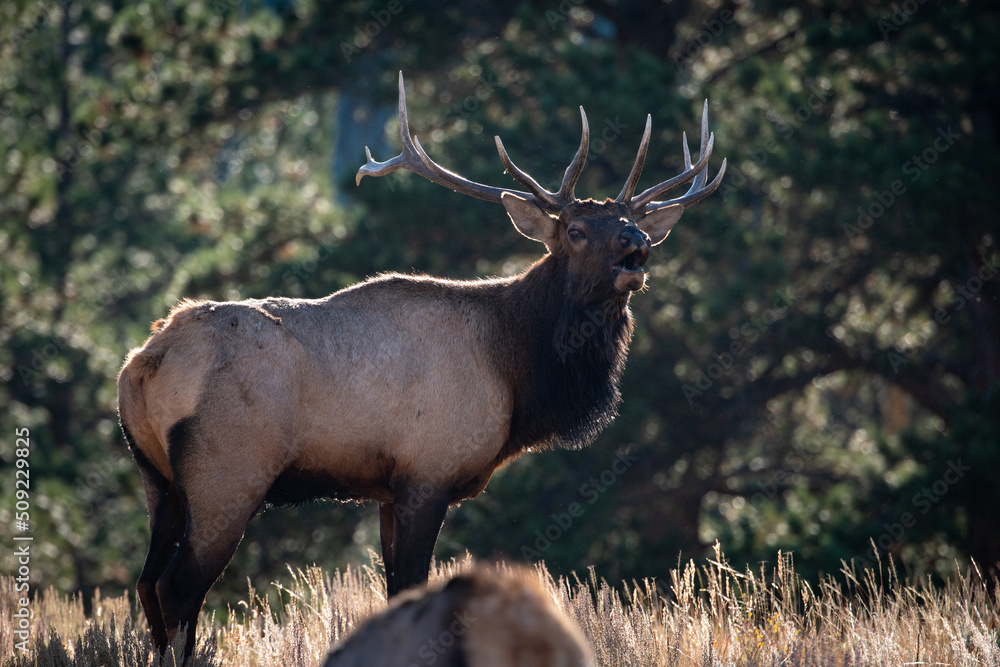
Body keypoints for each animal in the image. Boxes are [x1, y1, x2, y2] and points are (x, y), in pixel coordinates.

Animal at [117, 72, 725, 660]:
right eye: (574, 231)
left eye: (626, 220)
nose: (636, 242)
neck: (515, 372)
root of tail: (144, 362)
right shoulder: (427, 473)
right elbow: (413, 586)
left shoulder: (388, 488)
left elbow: (397, 594)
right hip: (226, 475)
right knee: (178, 589)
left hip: (159, 480)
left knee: (146, 585)